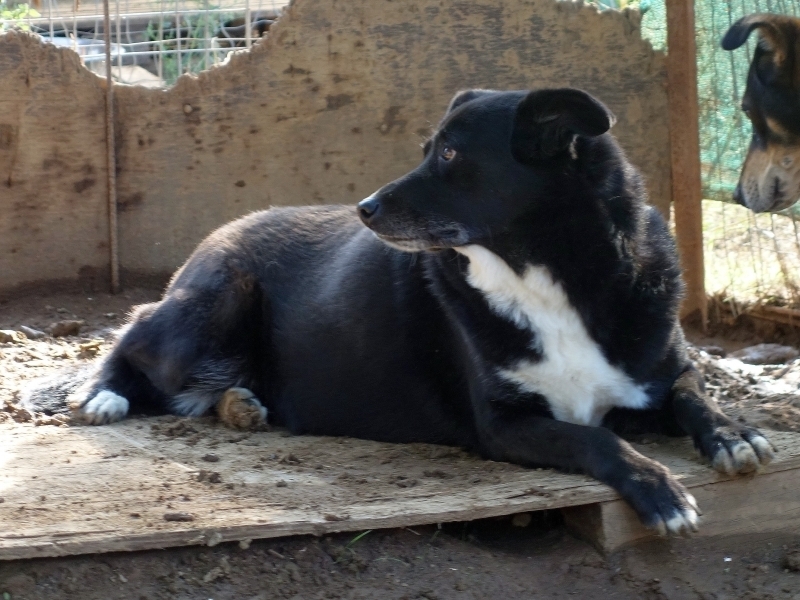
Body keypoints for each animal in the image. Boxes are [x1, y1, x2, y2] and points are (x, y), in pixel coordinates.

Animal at [24, 88, 775, 535]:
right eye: (427, 148)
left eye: (450, 153)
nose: (364, 208)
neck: (547, 276)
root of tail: (221, 232)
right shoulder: (505, 424)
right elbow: (597, 440)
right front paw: (659, 487)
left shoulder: (660, 369)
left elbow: (694, 395)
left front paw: (734, 433)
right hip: (216, 297)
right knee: (133, 333)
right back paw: (104, 396)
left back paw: (240, 404)